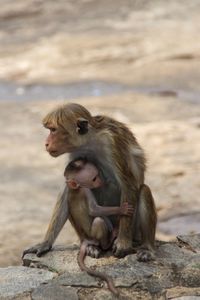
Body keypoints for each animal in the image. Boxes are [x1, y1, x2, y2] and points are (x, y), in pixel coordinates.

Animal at [23, 102, 156, 260]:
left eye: (53, 130)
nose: (46, 143)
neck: (90, 140)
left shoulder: (112, 143)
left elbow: (128, 184)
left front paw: (123, 243)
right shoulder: (77, 152)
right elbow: (69, 184)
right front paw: (45, 243)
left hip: (133, 230)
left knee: (144, 190)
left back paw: (146, 246)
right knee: (72, 192)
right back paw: (90, 244)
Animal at [65, 159, 134, 296]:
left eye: (97, 175)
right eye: (94, 178)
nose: (101, 181)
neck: (75, 189)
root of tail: (87, 239)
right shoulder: (87, 190)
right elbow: (94, 210)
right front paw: (122, 209)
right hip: (94, 236)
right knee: (99, 220)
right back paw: (108, 242)